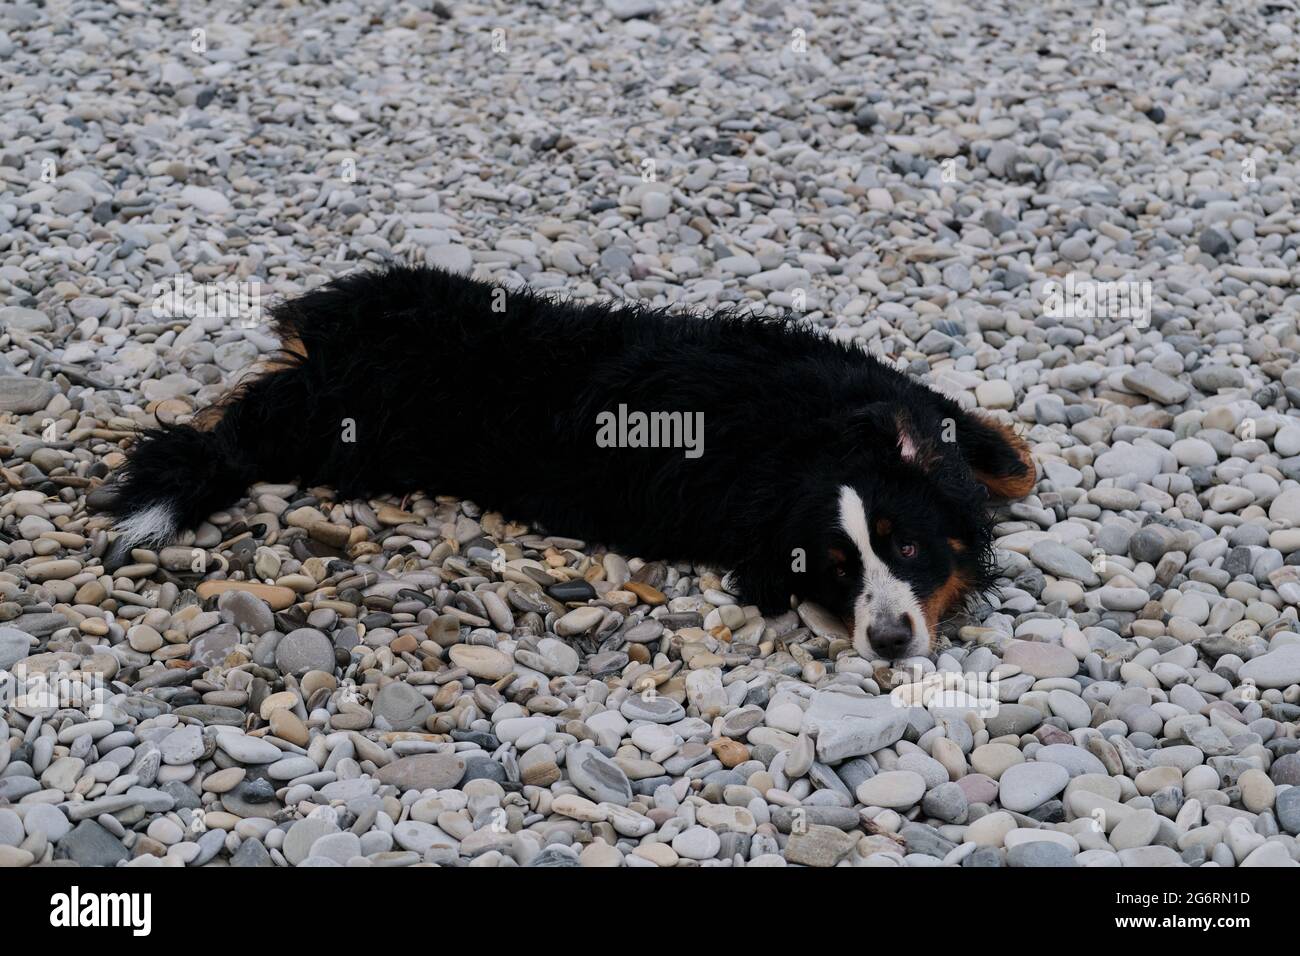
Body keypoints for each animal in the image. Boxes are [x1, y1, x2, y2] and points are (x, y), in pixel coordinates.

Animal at [101, 265, 1034, 660]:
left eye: (906, 546)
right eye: (834, 569)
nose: (888, 641)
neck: (802, 438)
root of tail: (327, 349)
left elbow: (1005, 460)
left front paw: (1006, 454)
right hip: (334, 428)